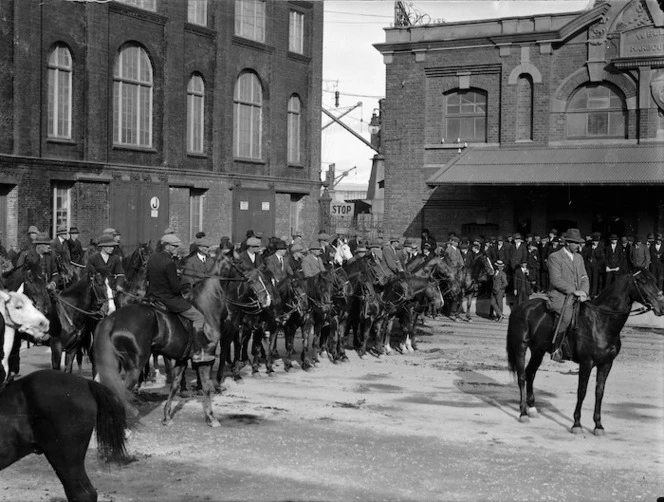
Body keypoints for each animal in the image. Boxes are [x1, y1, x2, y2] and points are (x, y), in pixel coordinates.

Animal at [506, 268, 660, 434]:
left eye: (654, 280)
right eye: (643, 281)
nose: (661, 305)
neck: (602, 321)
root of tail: (520, 307)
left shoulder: (606, 363)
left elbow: (599, 392)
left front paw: (598, 425)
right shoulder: (586, 362)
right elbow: (582, 391)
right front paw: (577, 424)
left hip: (538, 350)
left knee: (530, 373)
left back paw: (532, 409)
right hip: (521, 347)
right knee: (522, 376)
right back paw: (523, 412)